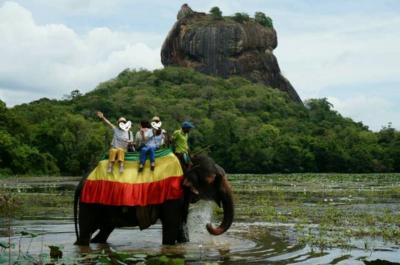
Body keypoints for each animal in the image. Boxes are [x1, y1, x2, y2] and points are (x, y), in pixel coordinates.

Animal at [73, 154, 233, 244]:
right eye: (215, 179)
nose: (208, 225)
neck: (189, 161)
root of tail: (80, 183)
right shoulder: (172, 194)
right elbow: (171, 227)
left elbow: (181, 226)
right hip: (90, 204)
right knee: (86, 233)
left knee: (103, 233)